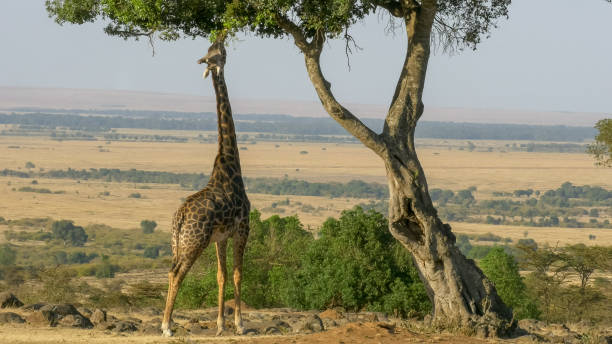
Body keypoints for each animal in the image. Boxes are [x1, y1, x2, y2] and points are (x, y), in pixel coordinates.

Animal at [163, 37, 251, 336]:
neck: (231, 165)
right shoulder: (243, 228)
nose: (221, 38)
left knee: (170, 269)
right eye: (219, 53)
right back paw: (166, 326)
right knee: (177, 273)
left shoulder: (220, 237)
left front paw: (221, 324)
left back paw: (168, 322)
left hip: (178, 241)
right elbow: (237, 273)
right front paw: (239, 324)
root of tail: (180, 217)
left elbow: (221, 275)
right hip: (194, 241)